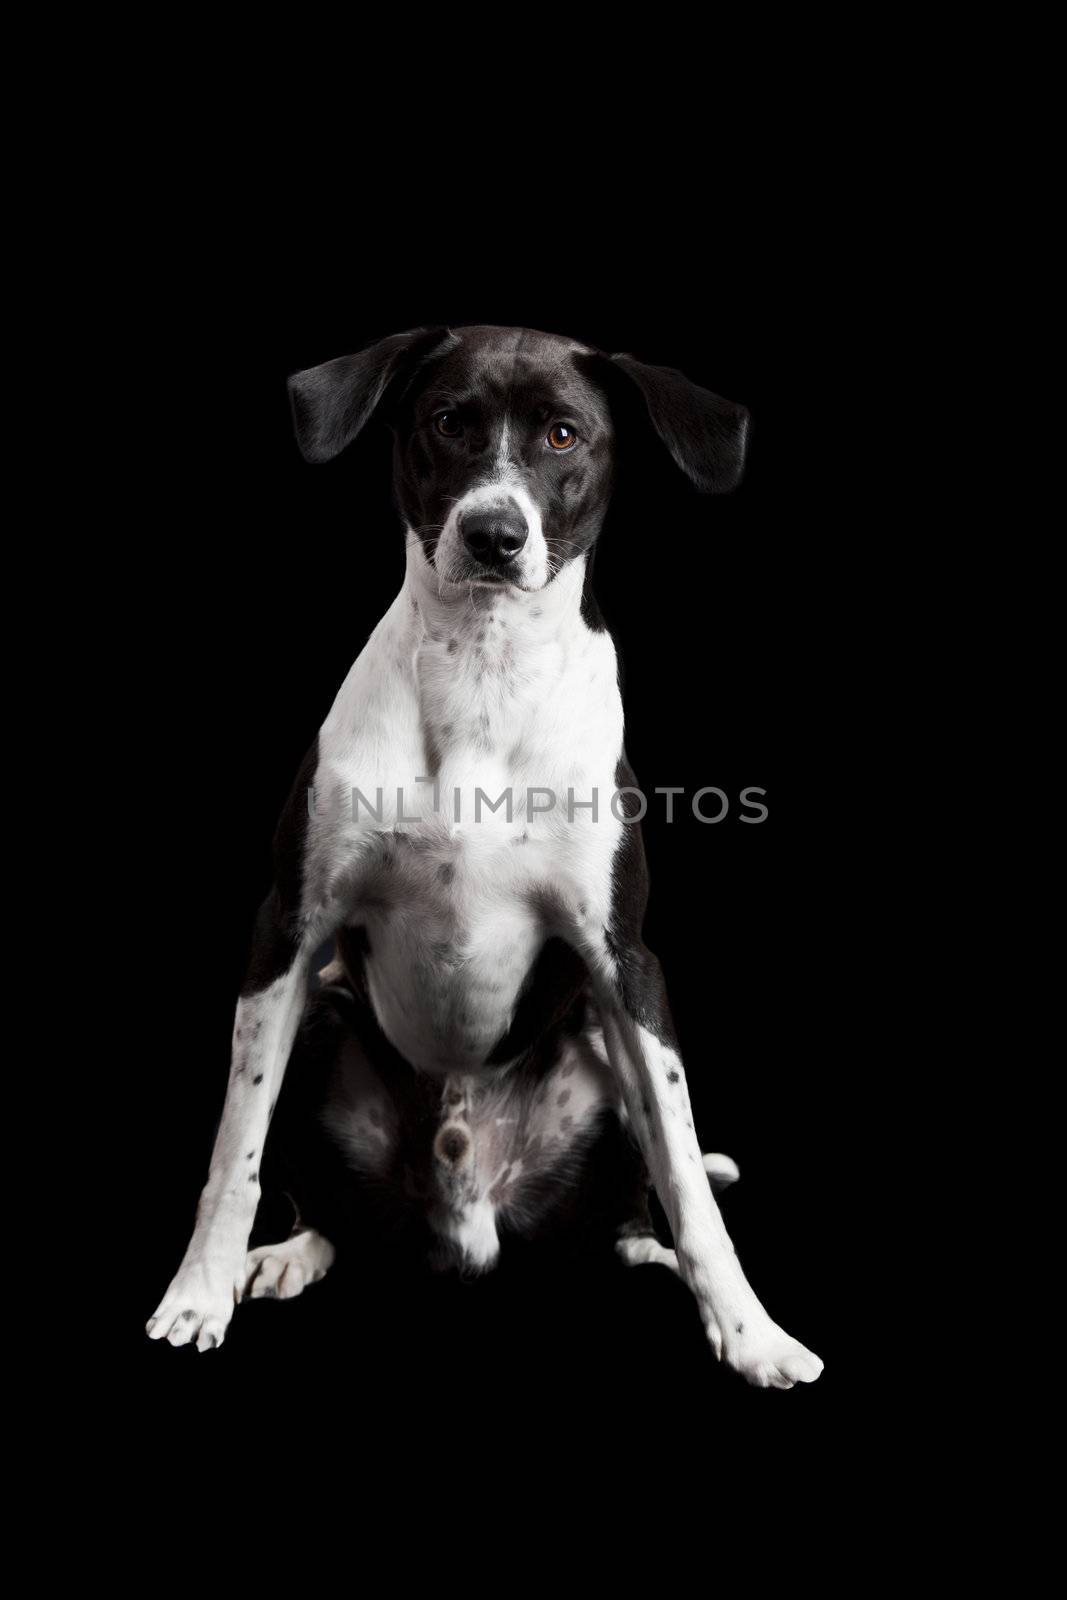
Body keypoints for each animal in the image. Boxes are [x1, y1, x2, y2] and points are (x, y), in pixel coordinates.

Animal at [143, 321, 825, 1388]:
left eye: (561, 433)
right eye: (447, 422)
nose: (492, 535)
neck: (483, 669)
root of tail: (468, 1223)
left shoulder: (625, 961)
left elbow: (684, 1171)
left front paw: (752, 1332)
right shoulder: (288, 933)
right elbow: (233, 1150)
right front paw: (198, 1293)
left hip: (594, 1044)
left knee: (639, 1205)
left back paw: (650, 1251)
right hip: (326, 1011)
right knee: (328, 1207)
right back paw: (293, 1252)